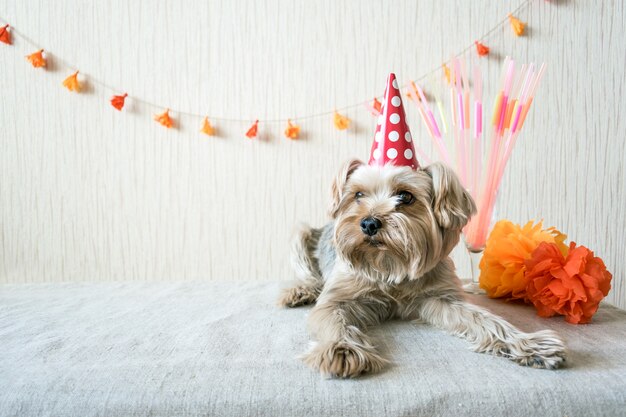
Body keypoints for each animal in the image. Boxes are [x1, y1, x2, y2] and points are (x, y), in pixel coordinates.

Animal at [278, 158, 564, 376]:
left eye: (405, 196)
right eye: (358, 195)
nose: (369, 223)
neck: (390, 264)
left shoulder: (439, 297)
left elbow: (485, 320)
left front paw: (529, 344)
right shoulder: (336, 299)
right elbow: (333, 319)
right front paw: (341, 349)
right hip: (302, 234)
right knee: (307, 272)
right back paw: (300, 291)